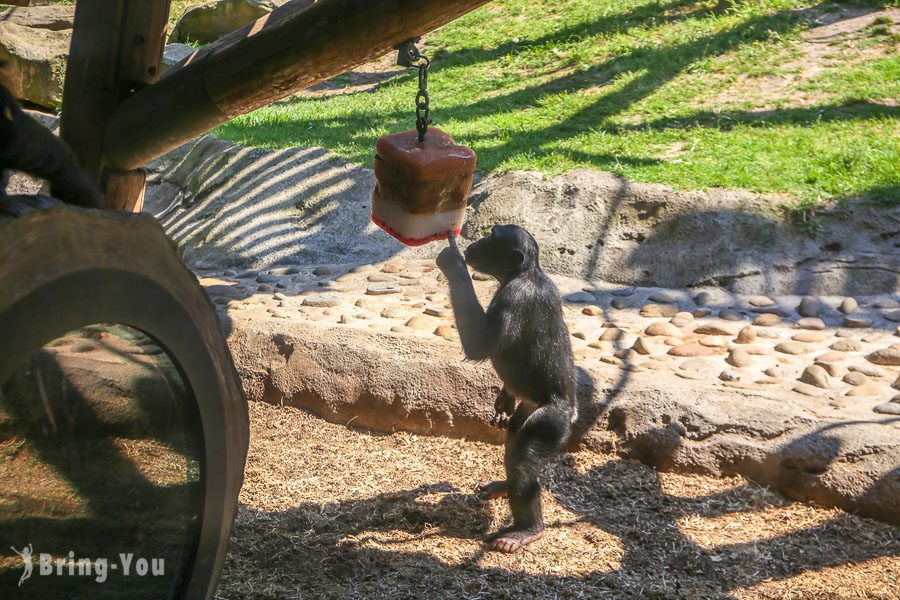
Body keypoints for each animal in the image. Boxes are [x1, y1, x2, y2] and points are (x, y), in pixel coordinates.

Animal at [436, 225, 576, 552]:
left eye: (493, 236)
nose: (476, 243)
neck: (521, 274)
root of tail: (572, 411)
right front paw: (503, 400)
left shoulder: (514, 298)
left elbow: (480, 344)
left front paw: (453, 262)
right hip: (529, 409)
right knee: (514, 439)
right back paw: (503, 486)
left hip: (552, 422)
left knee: (523, 460)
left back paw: (527, 529)